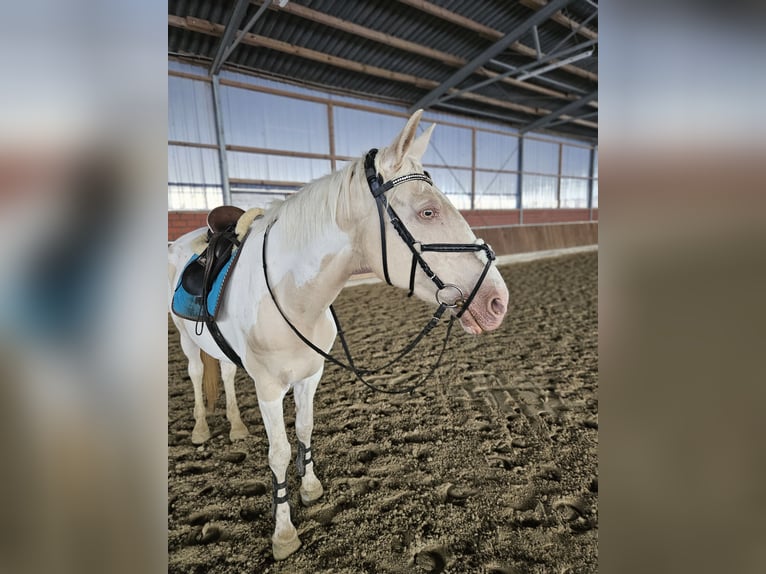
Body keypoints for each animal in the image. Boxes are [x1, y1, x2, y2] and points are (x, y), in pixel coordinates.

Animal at [167, 110, 509, 560]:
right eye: (428, 212)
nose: (498, 301)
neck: (291, 296)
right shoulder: (268, 388)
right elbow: (279, 453)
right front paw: (284, 534)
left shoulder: (311, 376)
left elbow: (305, 430)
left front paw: (311, 488)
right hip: (186, 341)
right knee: (194, 375)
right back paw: (201, 431)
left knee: (223, 372)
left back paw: (237, 427)